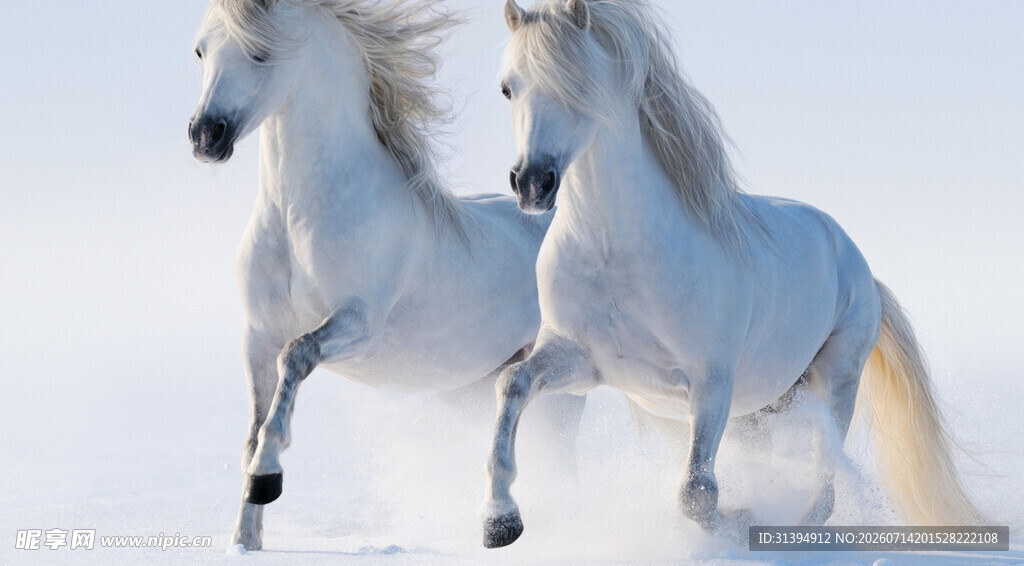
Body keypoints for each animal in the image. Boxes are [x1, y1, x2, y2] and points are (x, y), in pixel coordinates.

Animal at [187, 0, 586, 551]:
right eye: (200, 50)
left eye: (260, 52)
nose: (206, 136)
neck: (297, 217)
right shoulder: (256, 335)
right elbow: (252, 426)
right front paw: (246, 539)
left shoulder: (358, 325)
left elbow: (296, 357)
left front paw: (267, 478)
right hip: (471, 388)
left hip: (565, 386)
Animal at [481, 0, 986, 548]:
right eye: (508, 87)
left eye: (578, 81)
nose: (533, 183)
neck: (617, 256)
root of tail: (858, 264)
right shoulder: (581, 362)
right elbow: (512, 383)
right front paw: (500, 521)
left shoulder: (711, 384)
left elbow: (697, 494)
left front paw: (741, 522)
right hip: (759, 412)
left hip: (835, 380)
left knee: (824, 485)